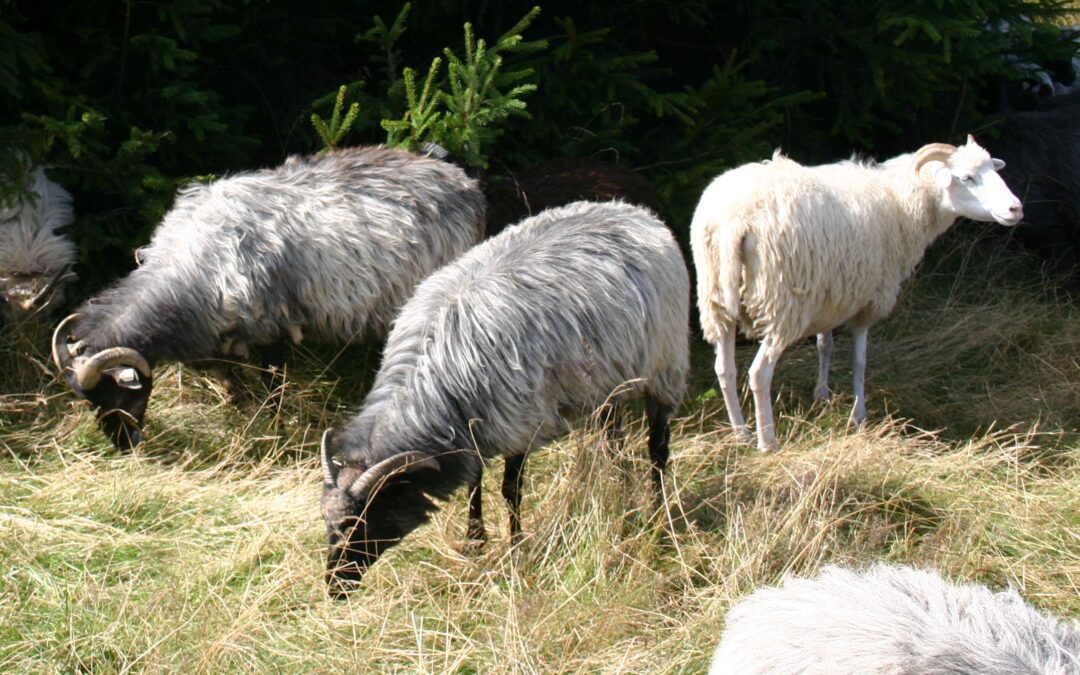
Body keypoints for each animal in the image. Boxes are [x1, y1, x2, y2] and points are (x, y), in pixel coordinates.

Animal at [53, 149, 486, 453]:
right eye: (89, 400)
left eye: (120, 393)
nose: (123, 445)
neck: (190, 264)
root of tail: (466, 182)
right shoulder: (218, 338)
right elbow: (232, 382)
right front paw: (239, 412)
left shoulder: (272, 330)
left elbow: (273, 389)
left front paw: (272, 428)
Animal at [319, 198, 691, 596]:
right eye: (327, 522)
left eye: (364, 521)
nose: (335, 586)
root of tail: (633, 211)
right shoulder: (474, 429)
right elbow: (474, 482)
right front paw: (474, 541)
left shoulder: (520, 424)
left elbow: (510, 489)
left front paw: (516, 550)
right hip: (610, 381)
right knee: (613, 438)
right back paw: (621, 493)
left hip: (665, 366)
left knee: (657, 449)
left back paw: (656, 515)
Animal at [686, 134, 1023, 449]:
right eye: (967, 178)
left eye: (993, 169)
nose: (1015, 208)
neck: (901, 202)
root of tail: (735, 219)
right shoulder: (869, 300)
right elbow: (859, 360)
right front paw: (858, 416)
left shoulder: (829, 295)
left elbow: (825, 345)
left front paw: (821, 395)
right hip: (783, 304)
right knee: (759, 373)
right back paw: (767, 441)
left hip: (717, 300)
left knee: (725, 370)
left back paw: (740, 433)